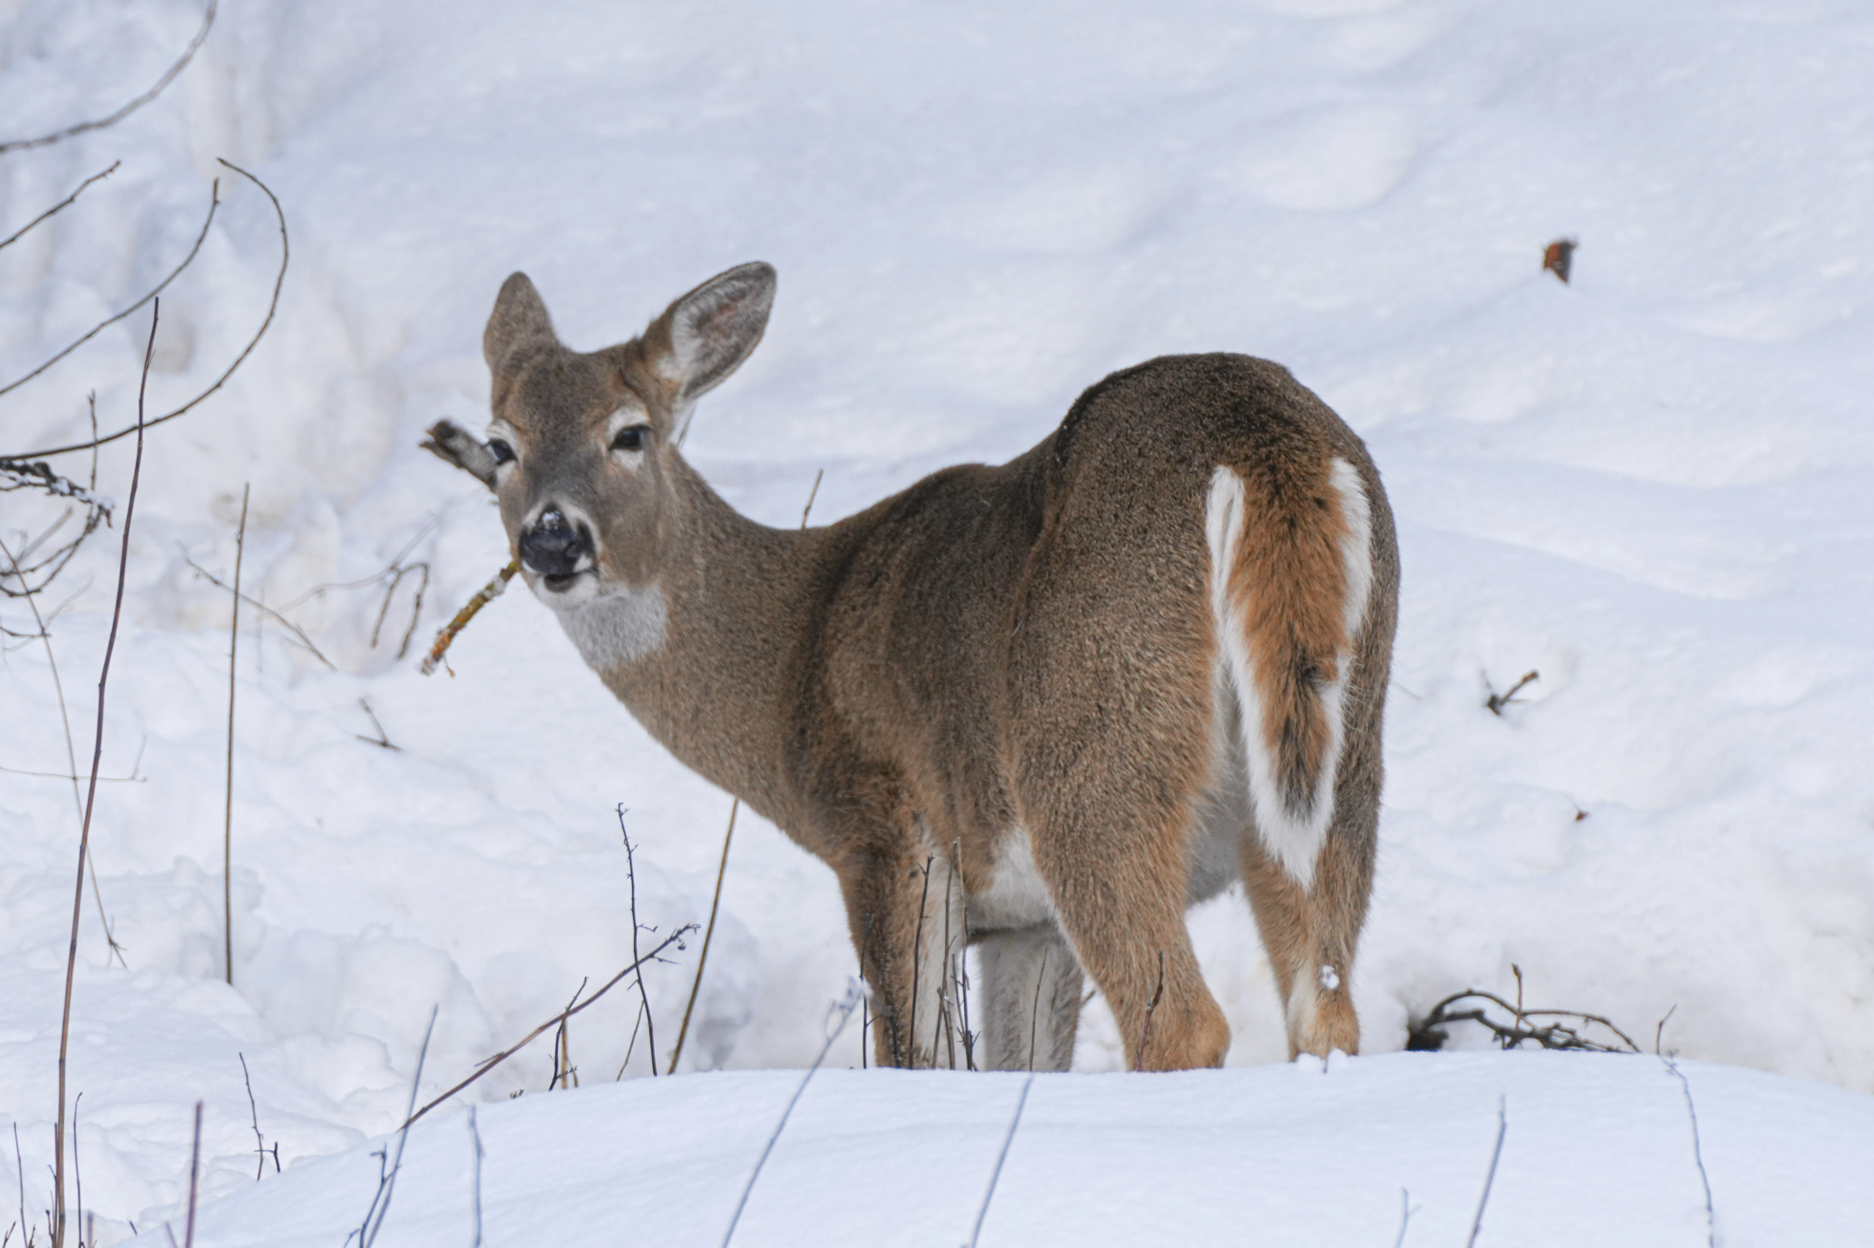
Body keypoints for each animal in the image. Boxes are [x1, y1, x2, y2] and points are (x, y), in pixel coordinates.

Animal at [425, 262, 1394, 1071]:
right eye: (502, 444)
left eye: (629, 434)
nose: (552, 539)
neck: (795, 652)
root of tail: (1256, 441)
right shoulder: (1024, 925)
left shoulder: (884, 831)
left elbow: (913, 1054)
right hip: (1340, 759)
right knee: (1327, 1013)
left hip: (1094, 753)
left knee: (1180, 1023)